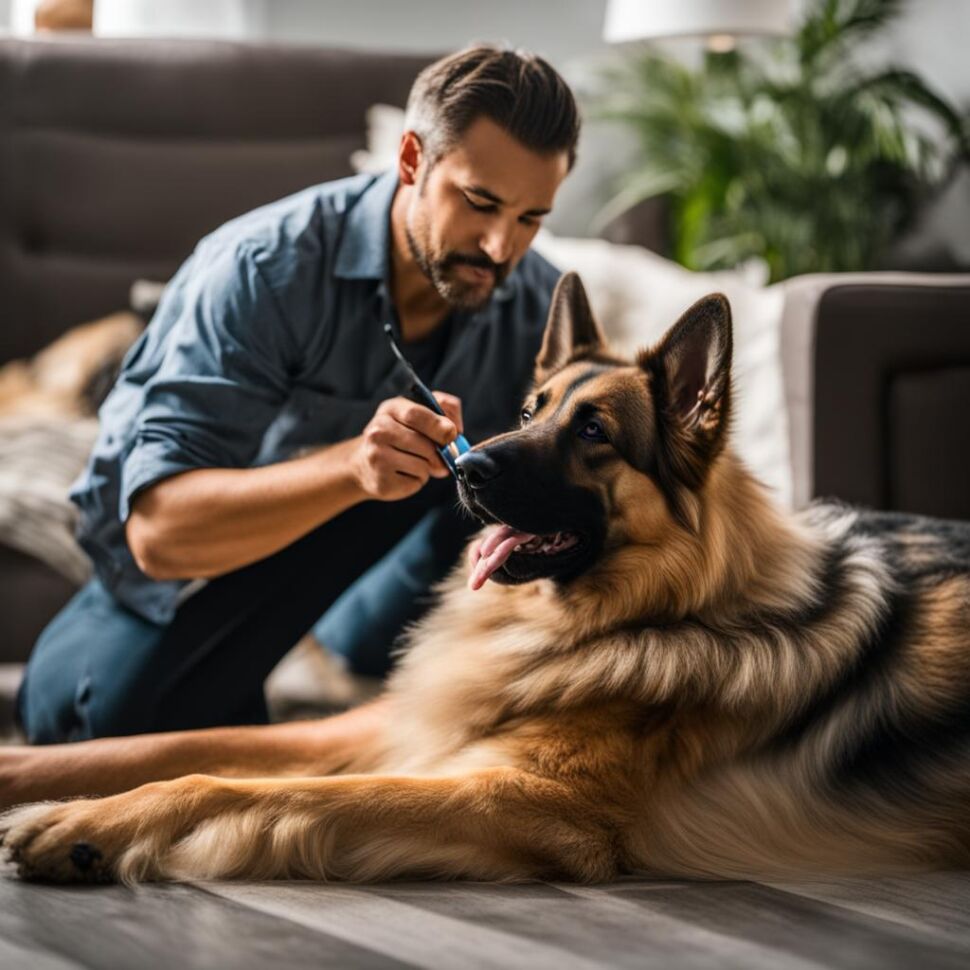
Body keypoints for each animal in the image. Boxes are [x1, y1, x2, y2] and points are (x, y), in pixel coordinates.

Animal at [1, 270, 968, 876]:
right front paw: (29, 772)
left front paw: (82, 825)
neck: (639, 615)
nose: (463, 470)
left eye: (593, 433)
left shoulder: (526, 801)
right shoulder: (389, 723)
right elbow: (165, 746)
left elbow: (217, 781)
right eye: (532, 409)